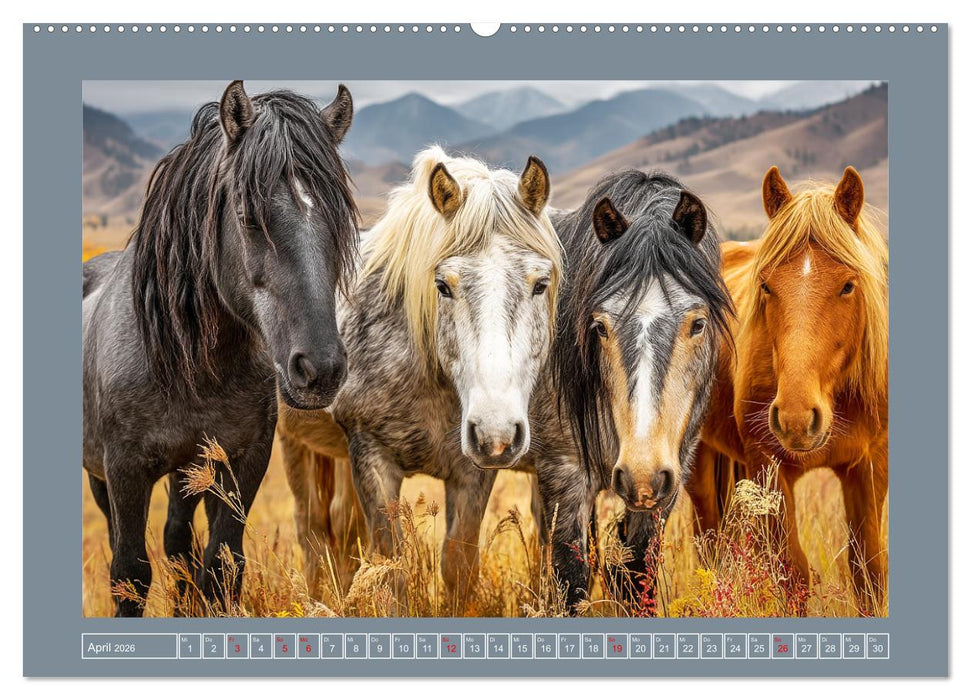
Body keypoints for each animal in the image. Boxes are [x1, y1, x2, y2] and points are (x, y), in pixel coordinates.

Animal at [82, 82, 358, 616]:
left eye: (339, 221)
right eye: (249, 217)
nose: (320, 370)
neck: (189, 366)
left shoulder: (241, 463)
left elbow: (222, 564)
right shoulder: (124, 470)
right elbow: (129, 574)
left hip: (189, 471)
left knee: (178, 542)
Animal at [276, 146, 561, 606]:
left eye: (540, 284)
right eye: (443, 285)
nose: (496, 431)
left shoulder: (472, 473)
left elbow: (459, 566)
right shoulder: (372, 458)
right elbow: (391, 570)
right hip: (294, 443)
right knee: (312, 529)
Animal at [517, 170, 733, 612]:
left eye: (698, 323)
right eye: (599, 326)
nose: (642, 475)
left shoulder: (669, 481)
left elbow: (637, 576)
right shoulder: (564, 473)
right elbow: (572, 578)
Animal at [685, 166, 889, 615]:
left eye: (848, 286)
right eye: (766, 286)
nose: (796, 419)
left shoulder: (869, 469)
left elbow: (868, 570)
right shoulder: (770, 467)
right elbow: (793, 574)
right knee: (710, 543)